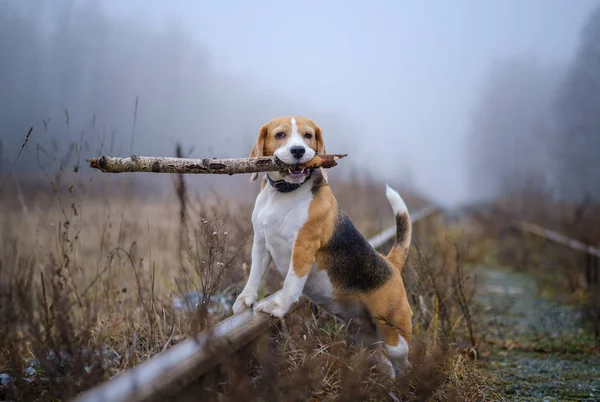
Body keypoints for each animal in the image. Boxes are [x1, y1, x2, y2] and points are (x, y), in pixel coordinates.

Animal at [233, 115, 412, 376]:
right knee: (383, 359)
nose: (298, 151)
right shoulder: (261, 242)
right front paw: (245, 299)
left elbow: (291, 283)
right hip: (365, 337)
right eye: (280, 135)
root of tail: (391, 264)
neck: (284, 195)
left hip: (394, 336)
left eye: (308, 135)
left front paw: (277, 306)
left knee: (403, 359)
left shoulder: (303, 248)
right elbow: (255, 274)